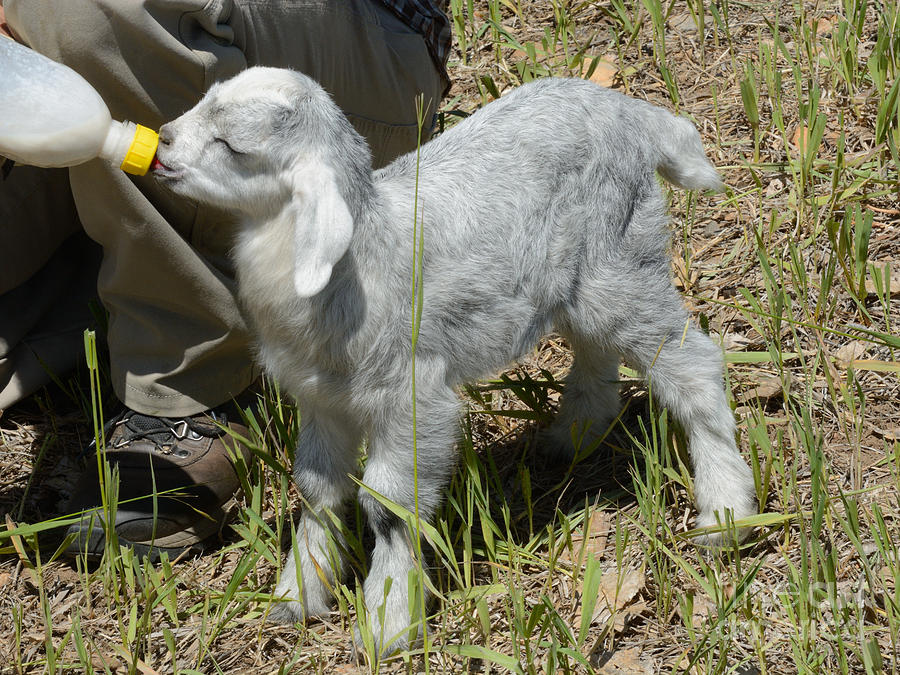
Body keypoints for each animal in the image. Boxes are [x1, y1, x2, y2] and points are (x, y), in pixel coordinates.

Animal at [156, 67, 760, 656]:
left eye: (232, 146)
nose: (160, 142)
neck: (362, 255)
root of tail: (636, 114)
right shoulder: (322, 400)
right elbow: (316, 490)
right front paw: (296, 596)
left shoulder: (412, 397)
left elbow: (388, 508)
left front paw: (388, 624)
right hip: (580, 283)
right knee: (597, 348)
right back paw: (575, 435)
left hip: (622, 263)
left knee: (693, 364)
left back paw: (725, 515)